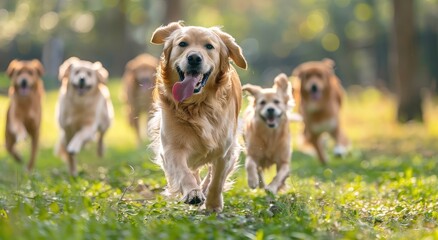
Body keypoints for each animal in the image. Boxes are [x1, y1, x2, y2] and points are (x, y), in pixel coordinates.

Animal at [149, 20, 248, 212]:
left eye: (209, 46)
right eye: (182, 44)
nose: (194, 58)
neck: (197, 106)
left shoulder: (226, 149)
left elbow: (217, 179)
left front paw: (213, 204)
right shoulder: (172, 147)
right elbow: (184, 172)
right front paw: (192, 192)